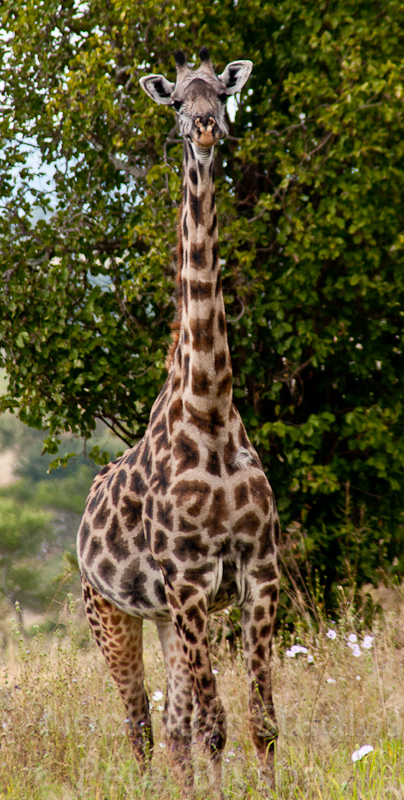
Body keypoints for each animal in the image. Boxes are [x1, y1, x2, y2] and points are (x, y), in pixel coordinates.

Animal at [77, 47, 280, 795]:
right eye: (175, 101)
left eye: (221, 91)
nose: (205, 127)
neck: (210, 408)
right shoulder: (189, 580)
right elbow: (219, 726)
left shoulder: (257, 573)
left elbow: (257, 721)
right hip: (109, 610)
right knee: (138, 721)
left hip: (165, 617)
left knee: (173, 728)